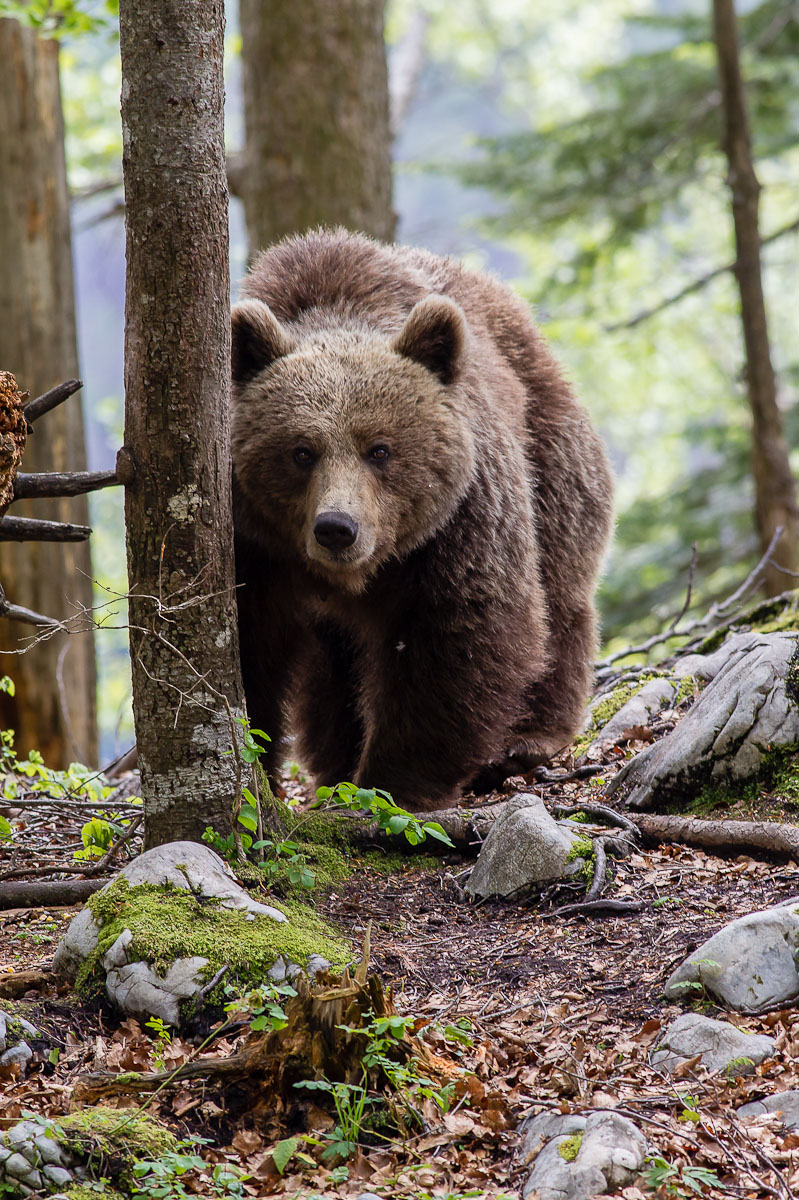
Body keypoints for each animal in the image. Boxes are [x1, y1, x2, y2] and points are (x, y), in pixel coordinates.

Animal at [230, 229, 613, 811]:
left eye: (380, 449)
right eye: (301, 452)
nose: (337, 528)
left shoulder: (458, 522)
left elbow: (460, 632)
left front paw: (393, 784)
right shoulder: (253, 544)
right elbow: (250, 650)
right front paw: (265, 780)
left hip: (546, 448)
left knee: (559, 589)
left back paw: (530, 736)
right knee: (335, 668)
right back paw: (335, 763)